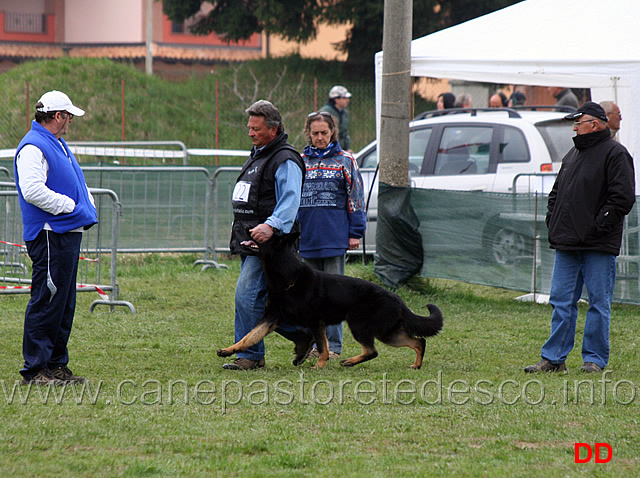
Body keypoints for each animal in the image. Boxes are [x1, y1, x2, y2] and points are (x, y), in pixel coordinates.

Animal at [218, 232, 442, 370]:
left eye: (263, 233)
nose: (245, 228)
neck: (287, 278)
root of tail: (399, 300)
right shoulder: (270, 319)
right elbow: (248, 337)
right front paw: (229, 350)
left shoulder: (316, 323)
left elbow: (323, 348)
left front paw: (318, 366)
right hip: (388, 333)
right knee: (419, 341)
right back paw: (416, 365)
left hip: (361, 327)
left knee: (373, 350)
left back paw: (350, 361)